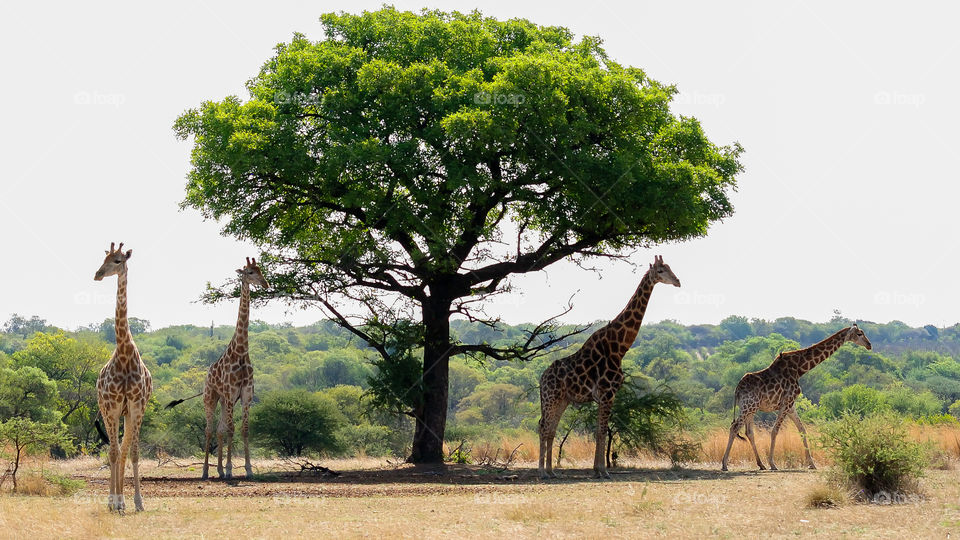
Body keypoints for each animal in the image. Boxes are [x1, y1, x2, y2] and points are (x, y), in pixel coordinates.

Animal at [201, 257, 269, 480]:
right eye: (249, 272)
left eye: (260, 270)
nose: (265, 284)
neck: (240, 352)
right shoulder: (231, 394)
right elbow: (231, 429)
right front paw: (231, 469)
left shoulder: (246, 395)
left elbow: (244, 430)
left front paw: (248, 469)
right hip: (211, 397)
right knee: (210, 429)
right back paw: (206, 471)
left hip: (223, 401)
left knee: (219, 429)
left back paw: (220, 471)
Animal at [538, 255, 681, 479]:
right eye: (660, 270)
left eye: (670, 268)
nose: (678, 281)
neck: (619, 347)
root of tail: (541, 378)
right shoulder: (607, 393)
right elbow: (602, 431)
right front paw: (603, 471)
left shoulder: (605, 396)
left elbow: (599, 430)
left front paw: (597, 470)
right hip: (551, 397)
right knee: (544, 427)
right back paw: (542, 472)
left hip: (562, 400)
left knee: (550, 429)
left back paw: (552, 472)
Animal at [720, 325, 872, 471]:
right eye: (859, 333)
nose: (869, 345)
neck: (800, 369)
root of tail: (737, 390)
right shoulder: (786, 402)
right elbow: (775, 430)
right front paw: (773, 464)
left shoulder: (791, 405)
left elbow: (802, 430)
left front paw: (812, 464)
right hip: (749, 406)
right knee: (734, 427)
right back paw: (724, 464)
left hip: (751, 408)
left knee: (749, 432)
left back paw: (760, 464)